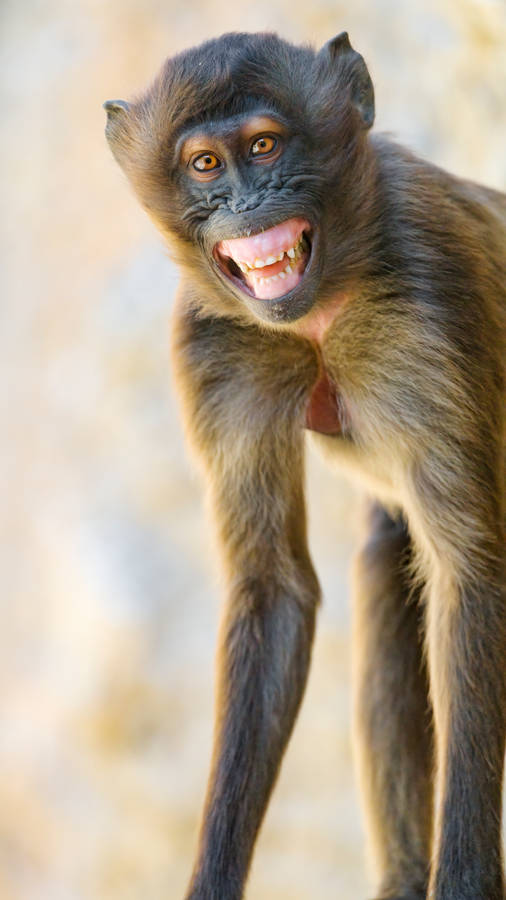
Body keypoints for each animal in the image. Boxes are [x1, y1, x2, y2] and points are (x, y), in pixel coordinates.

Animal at [103, 31, 506, 900]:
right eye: (205, 165)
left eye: (264, 146)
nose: (247, 202)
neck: (320, 316)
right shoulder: (212, 345)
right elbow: (276, 589)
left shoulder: (430, 293)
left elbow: (470, 576)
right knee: (388, 564)